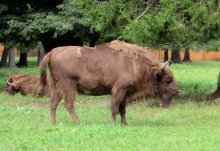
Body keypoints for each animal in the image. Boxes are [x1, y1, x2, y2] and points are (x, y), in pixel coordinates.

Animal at [40, 39, 180, 124]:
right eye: (168, 78)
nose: (177, 91)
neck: (136, 64)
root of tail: (52, 52)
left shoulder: (125, 92)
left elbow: (122, 108)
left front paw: (125, 124)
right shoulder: (119, 89)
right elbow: (115, 106)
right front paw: (112, 123)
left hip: (56, 86)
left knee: (53, 103)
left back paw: (53, 123)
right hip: (69, 86)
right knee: (68, 104)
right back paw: (78, 122)